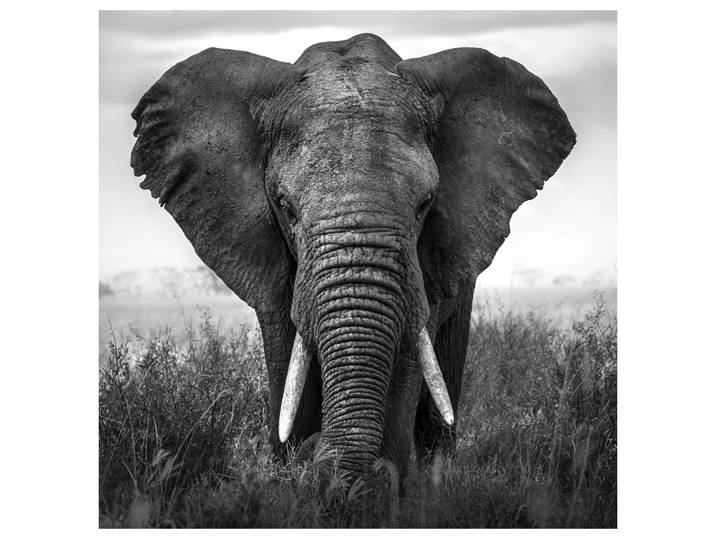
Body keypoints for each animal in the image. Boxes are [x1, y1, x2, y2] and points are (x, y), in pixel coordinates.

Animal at [130, 33, 575, 484]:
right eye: (286, 208)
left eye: (424, 205)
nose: (315, 454)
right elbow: (287, 354)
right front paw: (296, 471)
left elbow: (408, 351)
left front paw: (379, 484)